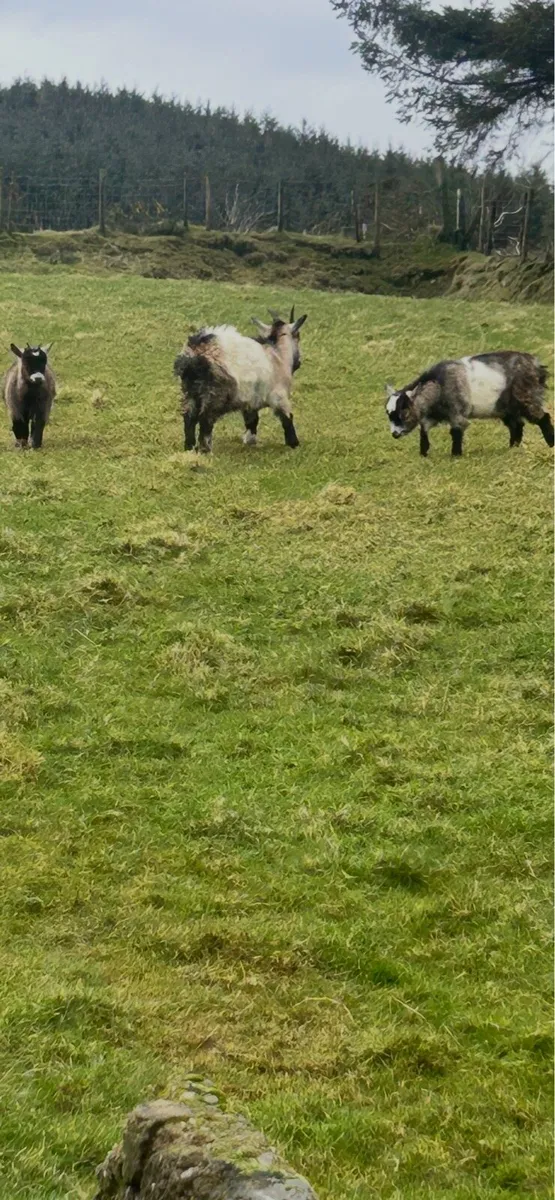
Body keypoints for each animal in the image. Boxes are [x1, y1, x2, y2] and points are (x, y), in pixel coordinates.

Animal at [174, 307, 307, 453]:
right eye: (298, 336)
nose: (299, 363)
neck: (278, 354)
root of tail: (196, 352)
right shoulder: (279, 395)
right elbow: (287, 418)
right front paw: (294, 443)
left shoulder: (251, 400)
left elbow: (252, 420)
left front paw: (250, 441)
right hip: (215, 392)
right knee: (205, 419)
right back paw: (205, 450)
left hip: (189, 390)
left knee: (189, 417)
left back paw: (189, 447)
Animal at [385, 351, 553, 457]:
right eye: (389, 415)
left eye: (403, 413)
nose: (394, 434)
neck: (439, 384)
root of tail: (537, 366)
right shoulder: (431, 416)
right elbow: (424, 430)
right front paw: (423, 453)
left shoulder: (456, 413)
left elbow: (456, 431)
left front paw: (455, 455)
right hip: (508, 407)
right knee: (517, 426)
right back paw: (512, 448)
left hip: (526, 399)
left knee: (543, 417)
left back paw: (550, 443)